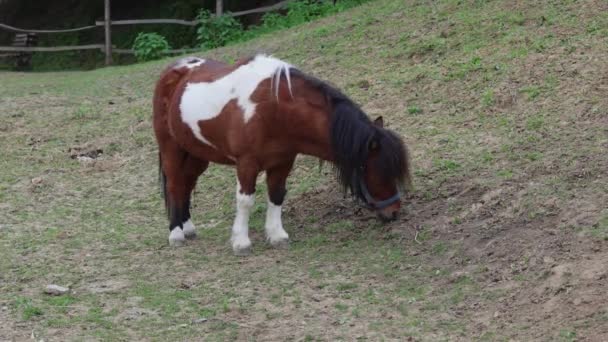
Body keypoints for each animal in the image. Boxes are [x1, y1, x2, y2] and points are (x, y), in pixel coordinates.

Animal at [152, 54, 410, 255]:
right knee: (175, 184)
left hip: (196, 153)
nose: (394, 212)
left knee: (186, 184)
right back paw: (176, 233)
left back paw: (188, 227)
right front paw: (241, 242)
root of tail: (173, 71)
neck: (274, 110)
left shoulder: (283, 162)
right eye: (378, 171)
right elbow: (245, 201)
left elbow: (277, 195)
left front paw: (277, 236)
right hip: (171, 148)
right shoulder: (246, 164)